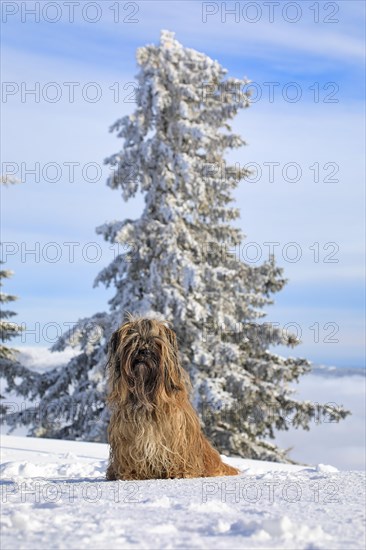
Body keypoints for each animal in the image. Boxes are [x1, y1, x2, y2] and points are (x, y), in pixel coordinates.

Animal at [105, 316, 240, 480]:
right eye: (134, 341)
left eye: (155, 343)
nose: (144, 351)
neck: (146, 397)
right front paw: (131, 474)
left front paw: (179, 472)